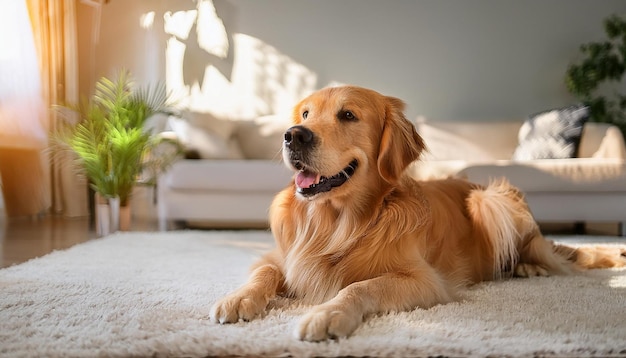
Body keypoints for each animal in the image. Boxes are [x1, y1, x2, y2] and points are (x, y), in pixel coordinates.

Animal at [211, 85, 624, 340]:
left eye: (348, 115)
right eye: (307, 114)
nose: (293, 134)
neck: (337, 221)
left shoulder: (425, 280)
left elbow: (360, 285)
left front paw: (327, 313)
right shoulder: (282, 256)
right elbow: (263, 272)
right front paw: (238, 298)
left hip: (491, 199)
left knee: (550, 254)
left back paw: (528, 267)